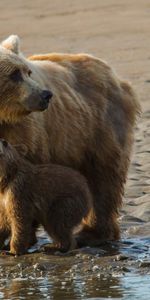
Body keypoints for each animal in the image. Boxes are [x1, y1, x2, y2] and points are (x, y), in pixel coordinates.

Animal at [0, 35, 141, 246]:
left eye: (27, 72)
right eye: (14, 74)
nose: (45, 95)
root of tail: (115, 75)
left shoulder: (24, 135)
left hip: (100, 128)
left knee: (104, 181)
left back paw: (93, 233)